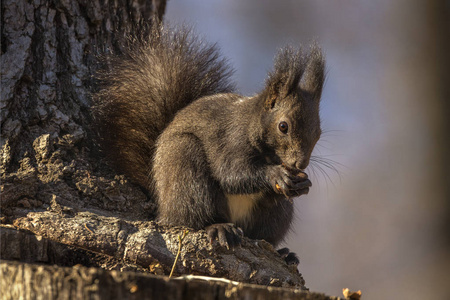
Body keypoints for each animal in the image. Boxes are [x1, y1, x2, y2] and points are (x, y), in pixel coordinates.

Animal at [93, 24, 326, 262]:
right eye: (283, 126)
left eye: (318, 132)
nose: (300, 164)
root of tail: (163, 203)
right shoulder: (230, 140)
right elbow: (231, 174)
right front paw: (275, 175)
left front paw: (303, 184)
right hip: (187, 169)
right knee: (194, 218)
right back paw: (218, 227)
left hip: (277, 215)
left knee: (261, 234)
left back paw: (283, 253)